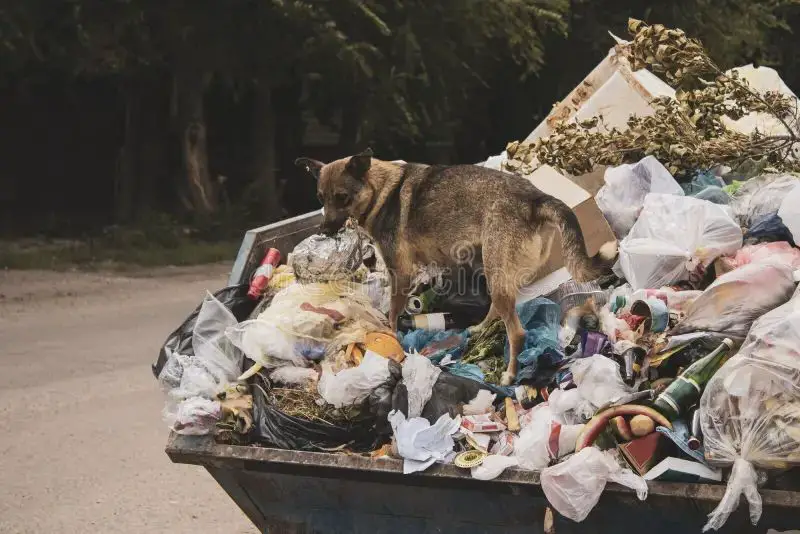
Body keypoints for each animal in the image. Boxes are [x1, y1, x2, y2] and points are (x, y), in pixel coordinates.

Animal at [296, 150, 616, 386]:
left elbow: (393, 313)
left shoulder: (401, 273)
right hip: (495, 272)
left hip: (496, 272)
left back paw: (510, 374)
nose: (324, 230)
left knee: (517, 332)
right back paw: (479, 329)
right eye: (321, 199)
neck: (381, 190)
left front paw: (391, 335)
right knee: (497, 309)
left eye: (342, 197)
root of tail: (535, 199)